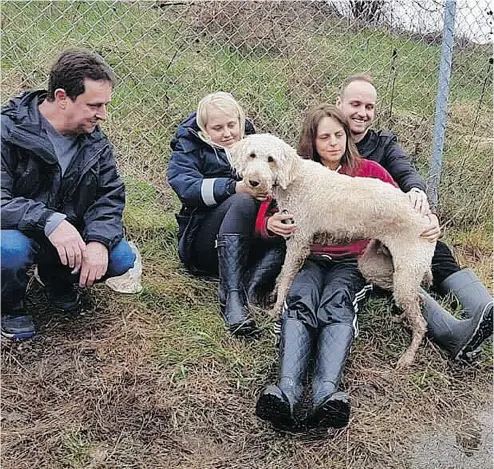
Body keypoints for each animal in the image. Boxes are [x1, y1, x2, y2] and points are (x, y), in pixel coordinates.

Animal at [232, 133, 436, 368]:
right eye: (252, 155)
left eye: (271, 159)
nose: (253, 182)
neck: (295, 179)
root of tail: (427, 217)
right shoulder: (292, 240)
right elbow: (283, 274)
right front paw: (274, 293)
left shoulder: (299, 243)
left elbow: (286, 281)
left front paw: (275, 310)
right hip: (377, 268)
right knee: (418, 300)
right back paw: (401, 318)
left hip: (404, 276)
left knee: (421, 322)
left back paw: (407, 356)